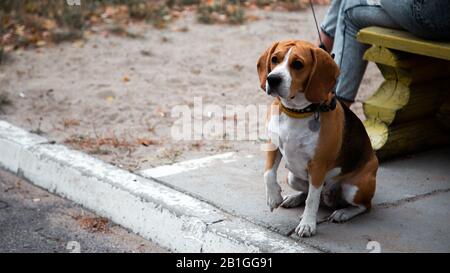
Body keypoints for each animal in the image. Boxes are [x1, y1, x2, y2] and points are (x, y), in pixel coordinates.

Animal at [258, 39, 378, 236]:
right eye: (275, 59)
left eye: (298, 64)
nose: (272, 79)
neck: (297, 112)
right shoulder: (273, 146)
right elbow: (268, 174)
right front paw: (273, 198)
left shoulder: (318, 166)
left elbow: (312, 200)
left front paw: (307, 224)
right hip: (292, 177)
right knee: (308, 193)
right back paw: (294, 198)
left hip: (354, 188)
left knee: (364, 206)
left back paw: (343, 213)